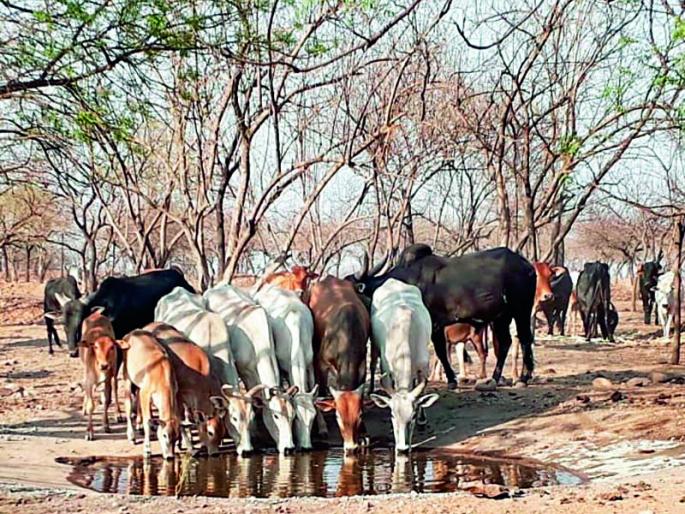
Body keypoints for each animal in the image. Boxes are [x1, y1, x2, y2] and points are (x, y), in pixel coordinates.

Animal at [78, 310, 123, 440]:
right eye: (96, 347)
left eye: (112, 347)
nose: (104, 365)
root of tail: (96, 314)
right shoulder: (89, 380)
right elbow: (90, 404)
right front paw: (89, 431)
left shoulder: (107, 380)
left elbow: (106, 400)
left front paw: (106, 424)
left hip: (114, 372)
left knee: (115, 388)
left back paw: (118, 413)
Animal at [116, 329, 181, 460]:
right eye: (165, 435)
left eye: (176, 437)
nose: (170, 456)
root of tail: (130, 334)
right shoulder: (145, 393)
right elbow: (147, 421)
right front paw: (147, 450)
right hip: (127, 377)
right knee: (128, 405)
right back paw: (131, 435)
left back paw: (139, 426)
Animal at [308, 275, 370, 453]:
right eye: (338, 416)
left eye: (360, 415)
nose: (351, 447)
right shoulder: (322, 363)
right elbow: (320, 392)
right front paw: (321, 428)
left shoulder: (362, 363)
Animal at [347, 244, 537, 389]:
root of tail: (528, 266)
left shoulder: (434, 323)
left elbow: (440, 351)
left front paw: (451, 380)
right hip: (501, 317)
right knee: (506, 343)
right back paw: (495, 378)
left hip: (521, 310)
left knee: (525, 338)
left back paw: (523, 378)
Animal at [367, 278, 439, 453]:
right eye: (392, 415)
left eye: (411, 416)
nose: (402, 448)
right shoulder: (386, 366)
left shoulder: (423, 365)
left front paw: (422, 419)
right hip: (374, 345)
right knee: (371, 364)